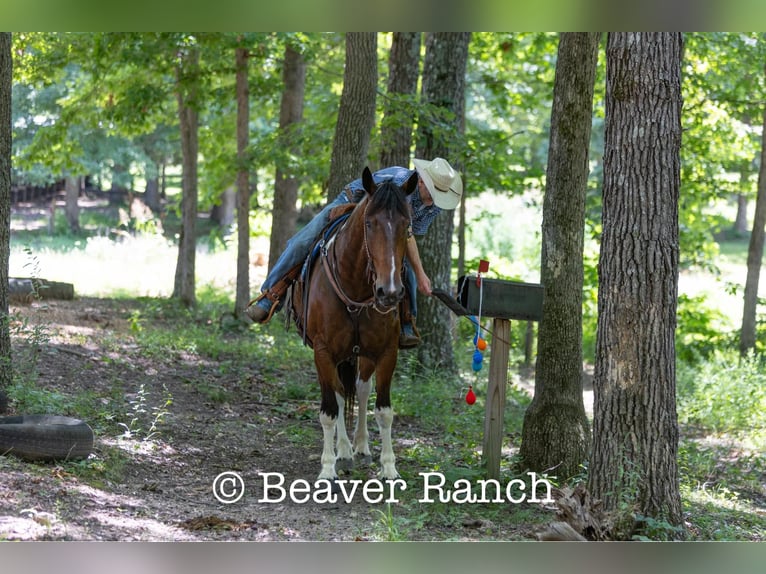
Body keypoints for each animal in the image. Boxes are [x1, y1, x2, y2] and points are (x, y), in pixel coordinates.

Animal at [290, 166, 418, 482]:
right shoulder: (323, 352)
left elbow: (383, 410)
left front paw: (389, 467)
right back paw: (344, 450)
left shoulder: (386, 352)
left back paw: (359, 446)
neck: (356, 287)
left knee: (360, 388)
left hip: (363, 354)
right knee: (338, 394)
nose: (390, 292)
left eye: (407, 225)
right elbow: (328, 411)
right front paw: (327, 469)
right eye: (370, 224)